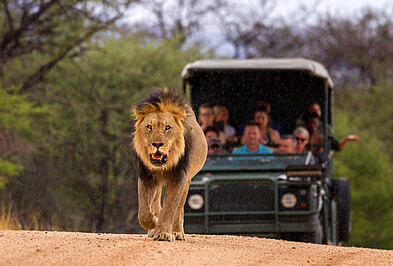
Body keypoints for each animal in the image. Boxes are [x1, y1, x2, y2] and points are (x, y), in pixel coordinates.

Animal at [132, 88, 207, 241]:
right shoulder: (146, 176)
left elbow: (170, 208)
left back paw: (177, 232)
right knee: (155, 202)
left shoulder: (179, 177)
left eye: (168, 127)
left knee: (179, 208)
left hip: (187, 181)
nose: (157, 144)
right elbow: (144, 212)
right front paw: (154, 223)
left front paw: (163, 233)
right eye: (149, 127)